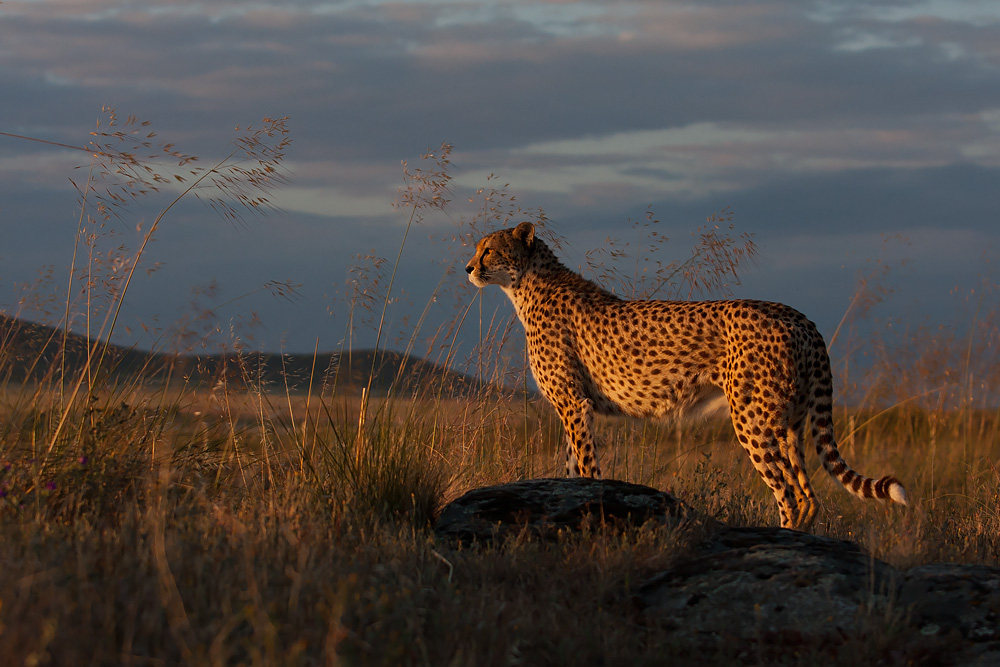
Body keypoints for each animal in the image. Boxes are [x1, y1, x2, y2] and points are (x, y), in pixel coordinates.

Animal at [464, 222, 912, 528]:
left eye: (490, 250)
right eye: (478, 249)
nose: (468, 267)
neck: (526, 285)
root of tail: (797, 315)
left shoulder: (574, 405)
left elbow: (587, 469)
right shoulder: (576, 406)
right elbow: (574, 468)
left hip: (752, 418)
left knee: (788, 493)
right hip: (790, 423)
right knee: (808, 494)